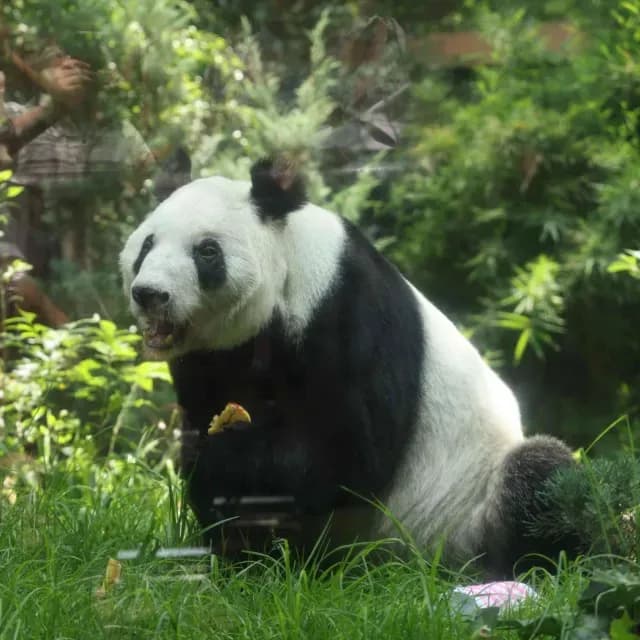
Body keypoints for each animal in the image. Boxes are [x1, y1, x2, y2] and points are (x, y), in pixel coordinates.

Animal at [120, 157, 577, 576]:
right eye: (146, 246)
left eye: (207, 251)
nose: (150, 294)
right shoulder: (213, 355)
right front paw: (237, 552)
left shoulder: (346, 307)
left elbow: (351, 451)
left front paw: (224, 457)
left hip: (463, 508)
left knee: (541, 477)